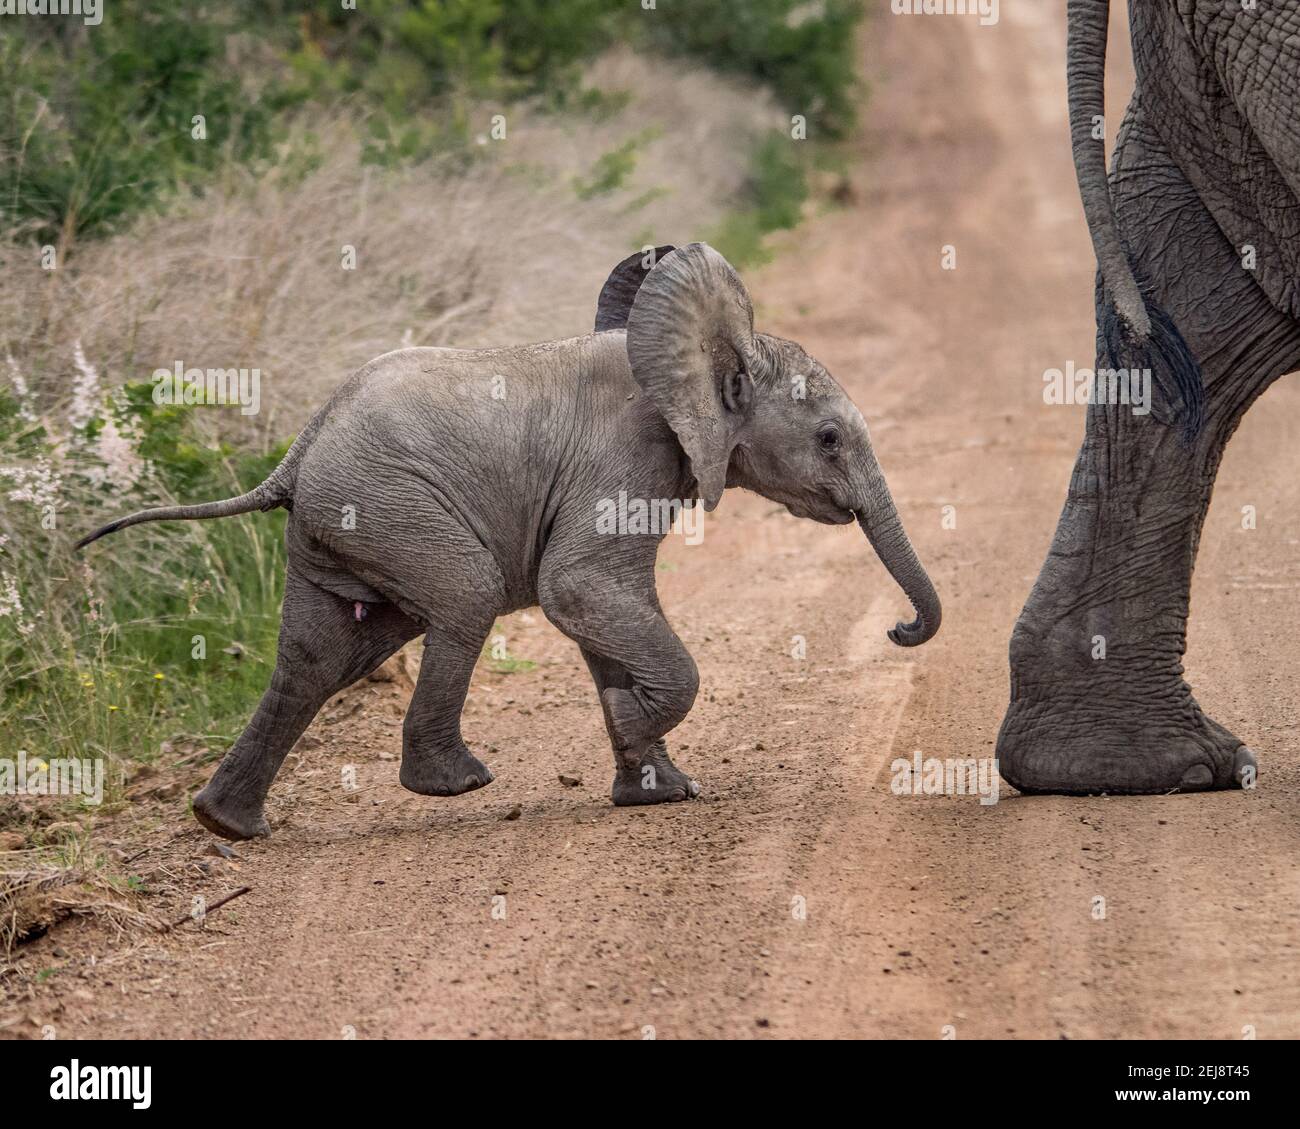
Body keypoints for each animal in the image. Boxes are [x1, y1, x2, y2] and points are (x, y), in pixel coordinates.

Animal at [78, 243, 941, 839]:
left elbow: (608, 610)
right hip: (391, 505)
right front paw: (634, 724)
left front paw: (656, 784)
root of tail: (297, 450)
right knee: (464, 595)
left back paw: (228, 824)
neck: (686, 355)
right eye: (829, 439)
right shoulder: (624, 460)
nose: (900, 629)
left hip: (344, 528)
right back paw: (455, 783)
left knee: (320, 656)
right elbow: (579, 588)